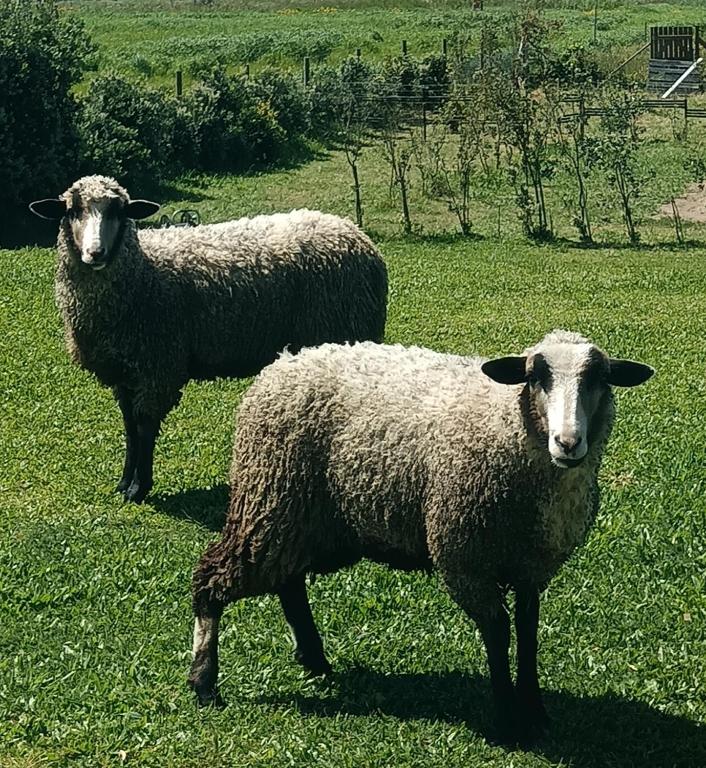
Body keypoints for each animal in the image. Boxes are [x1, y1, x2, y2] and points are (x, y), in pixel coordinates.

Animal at [29, 175, 387, 503]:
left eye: (119, 211)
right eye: (72, 210)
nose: (95, 253)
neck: (143, 273)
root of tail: (358, 236)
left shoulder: (158, 366)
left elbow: (144, 426)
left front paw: (139, 488)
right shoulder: (124, 370)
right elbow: (129, 426)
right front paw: (124, 482)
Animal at [188, 330, 653, 744]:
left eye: (599, 378)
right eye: (534, 376)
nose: (568, 442)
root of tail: (284, 361)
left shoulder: (532, 566)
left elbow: (528, 632)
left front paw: (535, 710)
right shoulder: (465, 558)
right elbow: (498, 632)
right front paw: (507, 717)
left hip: (310, 521)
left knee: (289, 582)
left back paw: (314, 659)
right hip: (270, 500)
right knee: (212, 576)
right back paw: (204, 680)